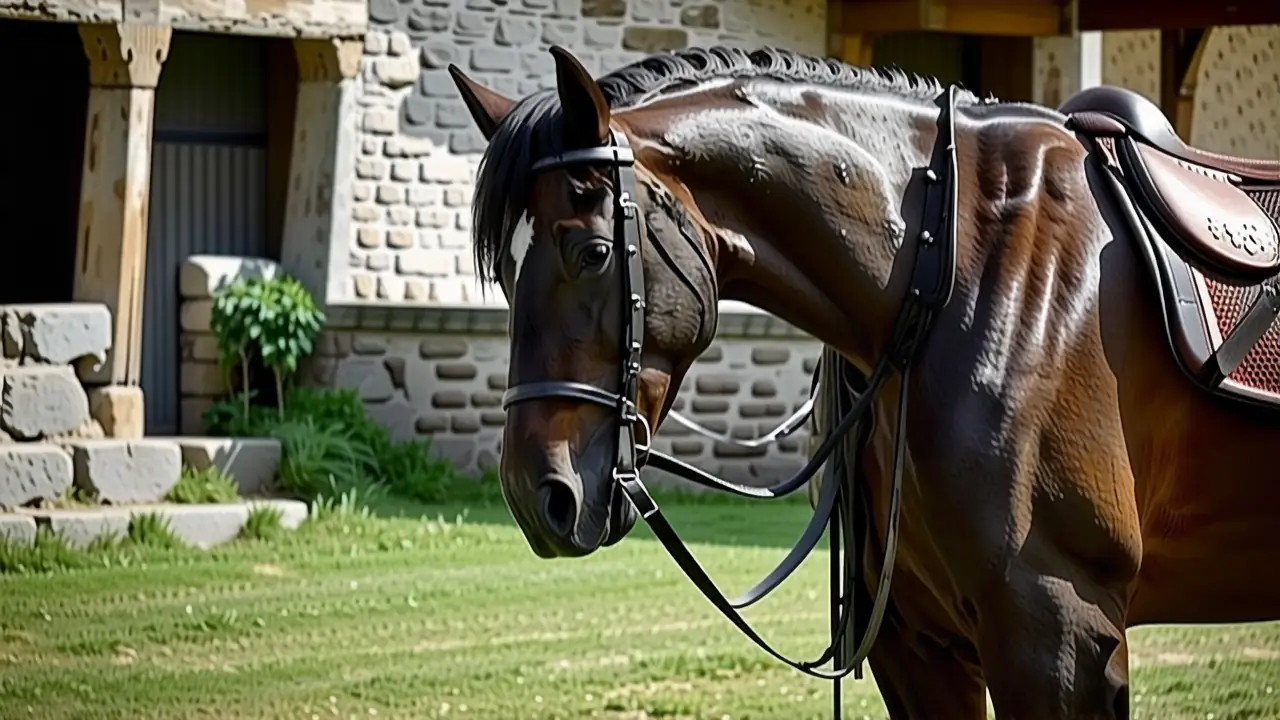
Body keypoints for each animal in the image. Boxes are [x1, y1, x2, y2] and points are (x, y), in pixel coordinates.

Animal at [447, 44, 1280, 719]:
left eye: (591, 253)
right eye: (507, 273)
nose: (538, 496)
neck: (951, 269)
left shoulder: (1059, 633)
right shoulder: (917, 646)